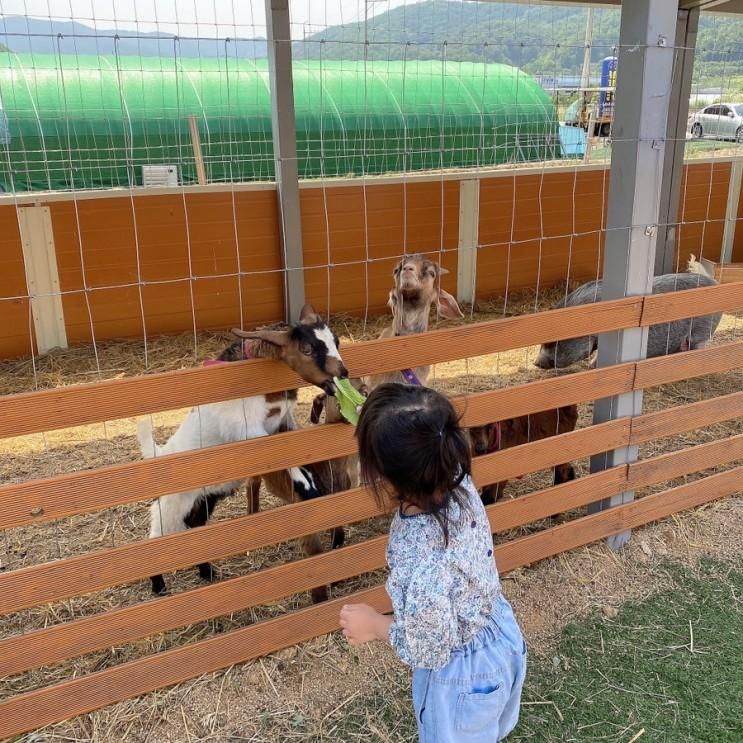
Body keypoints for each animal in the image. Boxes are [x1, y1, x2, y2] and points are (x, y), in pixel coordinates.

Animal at [137, 300, 348, 592]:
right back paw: (159, 586)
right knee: (156, 536)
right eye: (307, 349)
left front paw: (309, 482)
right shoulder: (248, 430)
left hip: (205, 497)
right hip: (172, 503)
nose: (343, 373)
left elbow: (292, 448)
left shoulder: (283, 421)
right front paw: (306, 487)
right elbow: (280, 452)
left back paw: (207, 572)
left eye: (335, 341)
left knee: (194, 525)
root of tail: (162, 452)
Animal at [536, 258, 720, 370]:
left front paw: (592, 366)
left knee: (698, 344)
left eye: (555, 341)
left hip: (703, 329)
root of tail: (715, 283)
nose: (536, 363)